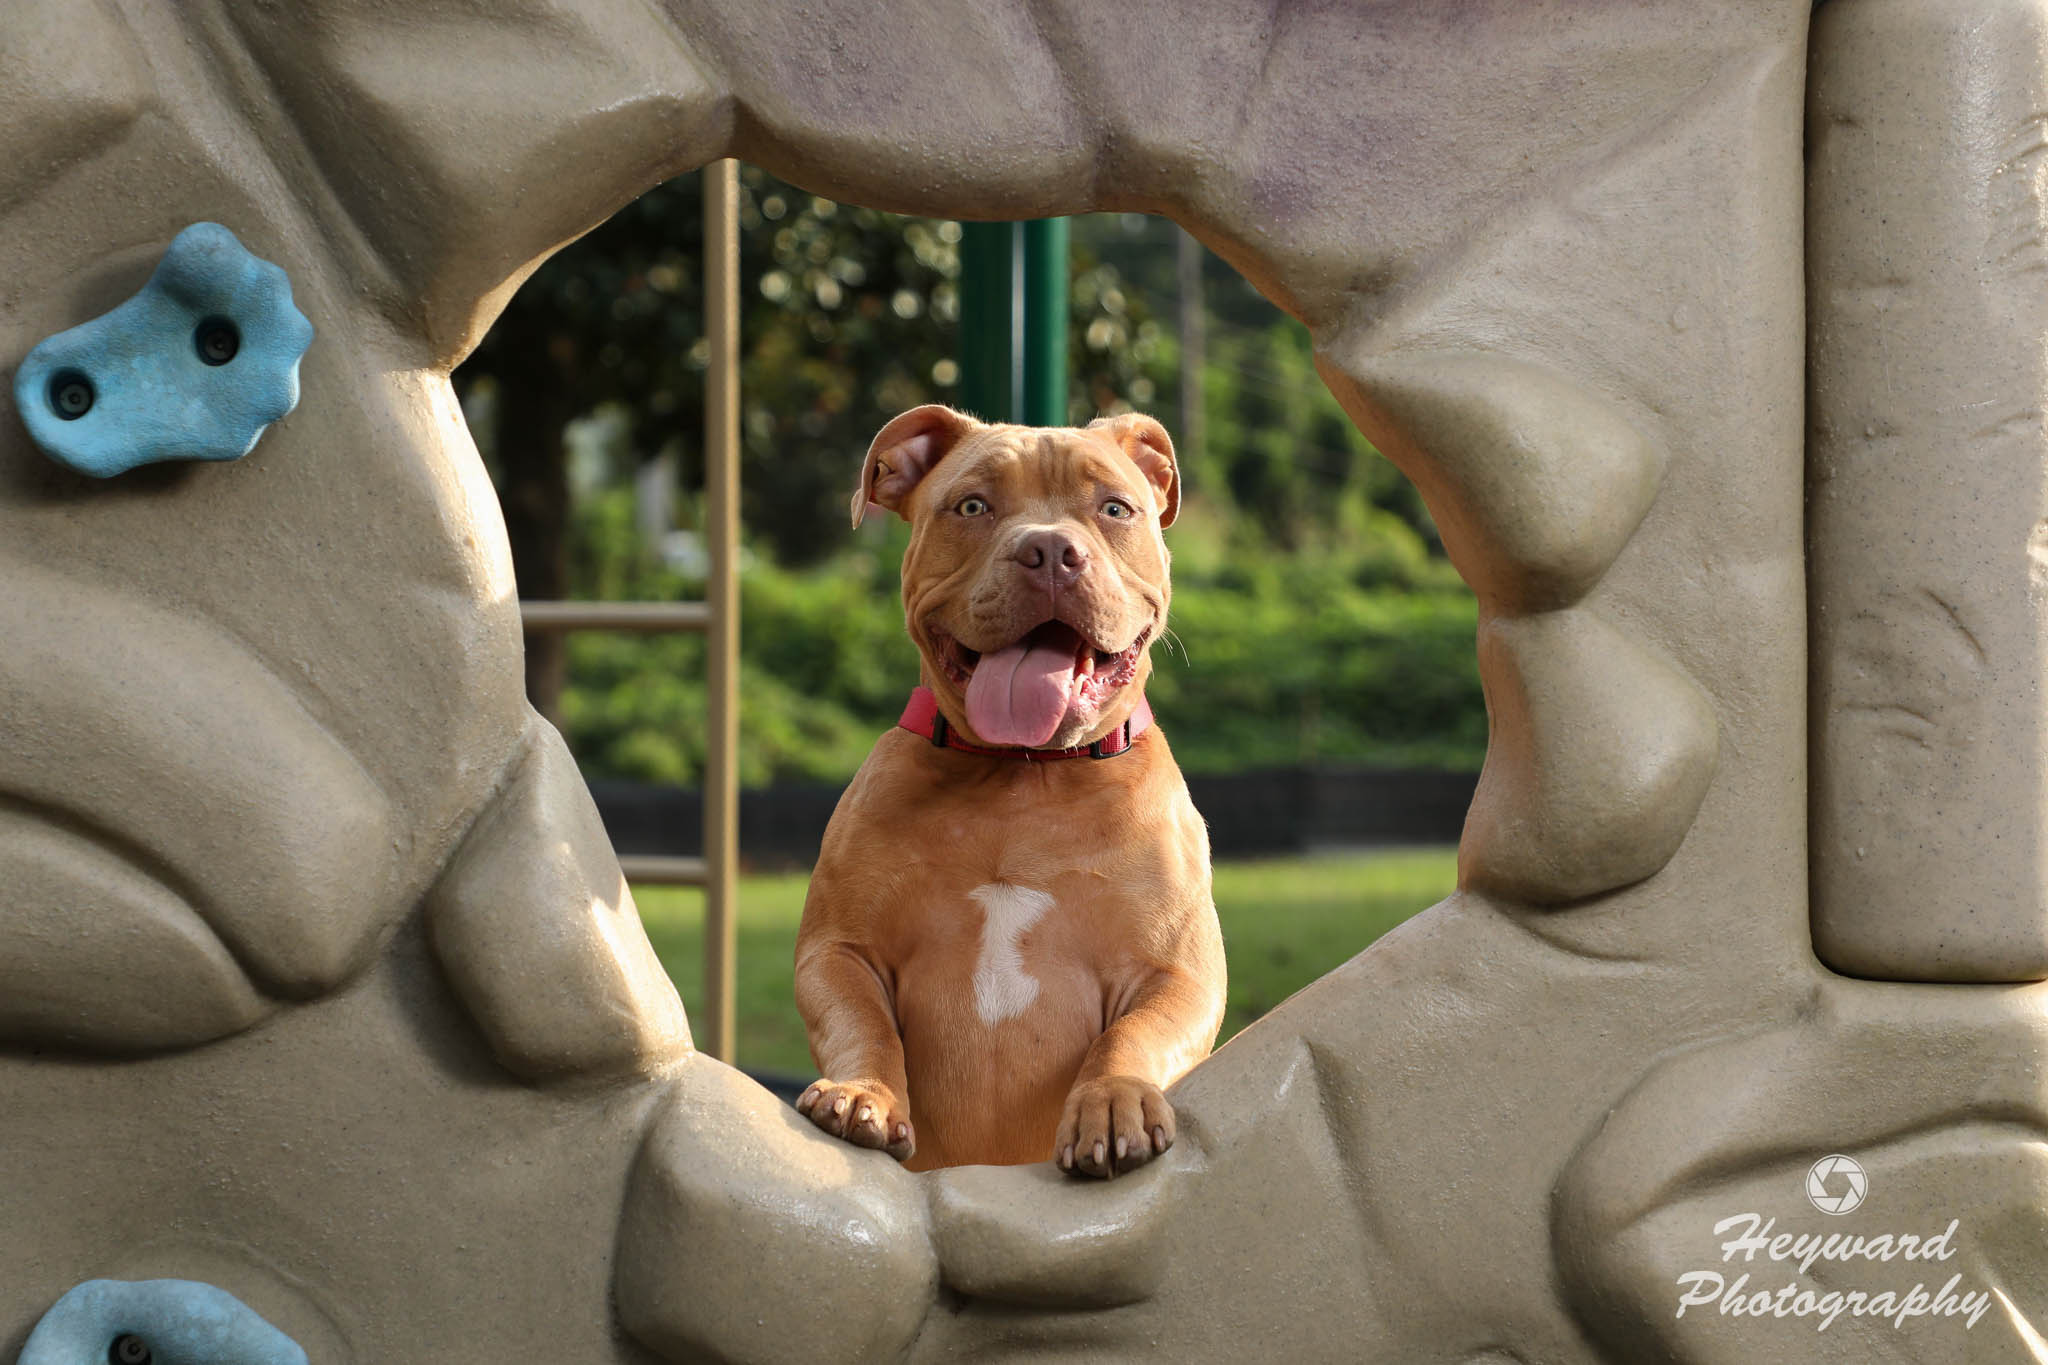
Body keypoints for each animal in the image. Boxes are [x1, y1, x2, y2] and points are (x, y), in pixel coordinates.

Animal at [790, 403, 1220, 1178]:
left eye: (1115, 508)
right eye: (972, 506)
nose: (1049, 550)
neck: (1024, 772)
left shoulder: (1175, 972)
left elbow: (1131, 1035)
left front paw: (1111, 1101)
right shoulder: (839, 950)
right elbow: (864, 1023)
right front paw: (863, 1094)